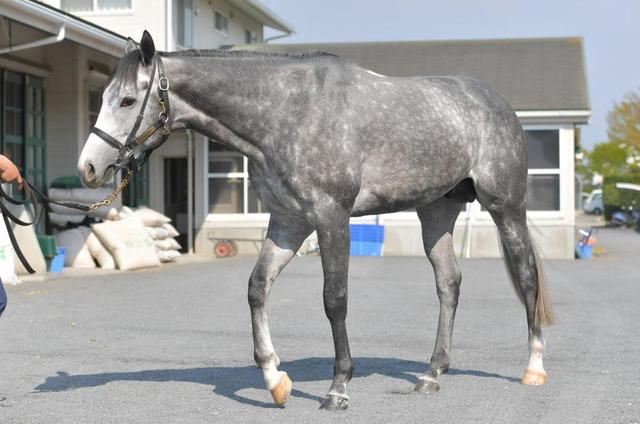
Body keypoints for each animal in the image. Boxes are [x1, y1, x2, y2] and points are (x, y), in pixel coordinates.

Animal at [77, 31, 552, 410]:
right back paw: (432, 374)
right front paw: (275, 380)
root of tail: (495, 103)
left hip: (505, 207)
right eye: (102, 98)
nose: (89, 168)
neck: (287, 111)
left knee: (527, 277)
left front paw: (338, 388)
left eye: (127, 100)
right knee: (449, 284)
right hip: (436, 210)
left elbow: (334, 299)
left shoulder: (331, 218)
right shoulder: (288, 222)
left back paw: (533, 368)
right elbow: (256, 288)